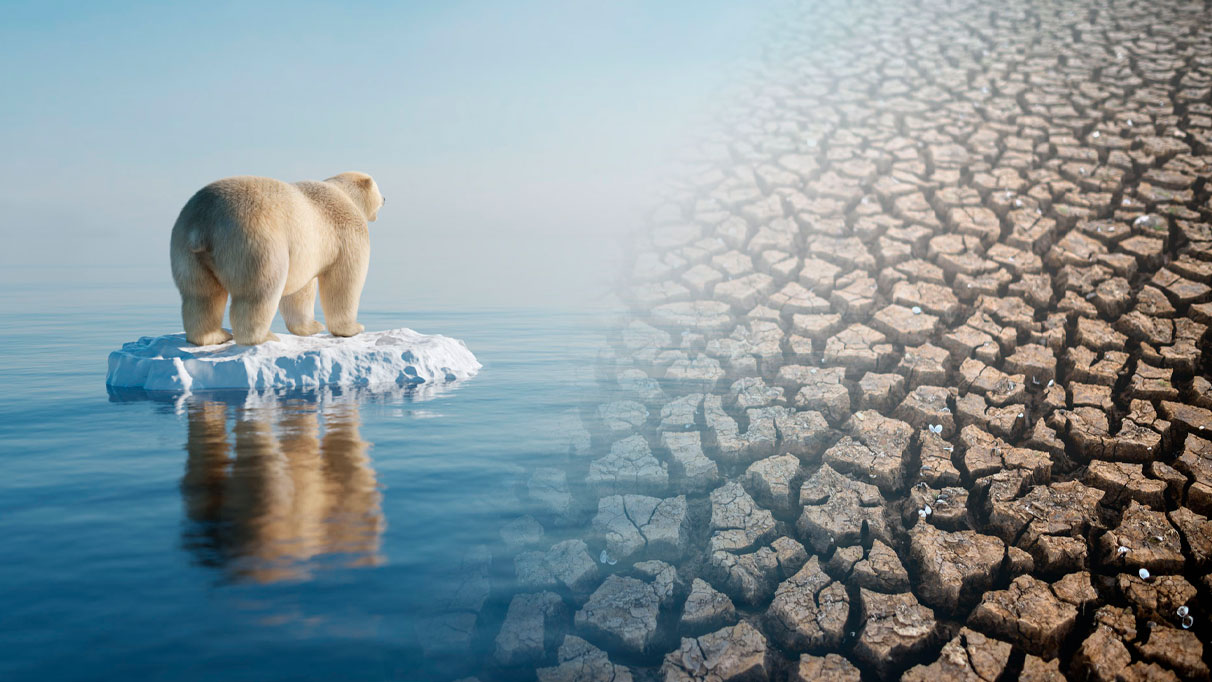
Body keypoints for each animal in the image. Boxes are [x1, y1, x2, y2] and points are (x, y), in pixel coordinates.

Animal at [170, 170, 382, 346]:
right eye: (379, 190)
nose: (386, 198)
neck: (344, 194)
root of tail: (203, 225)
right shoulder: (347, 231)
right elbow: (344, 281)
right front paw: (353, 328)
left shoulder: (305, 252)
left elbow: (300, 290)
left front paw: (312, 327)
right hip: (255, 241)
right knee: (260, 291)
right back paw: (263, 337)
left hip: (185, 250)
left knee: (201, 295)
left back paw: (214, 336)